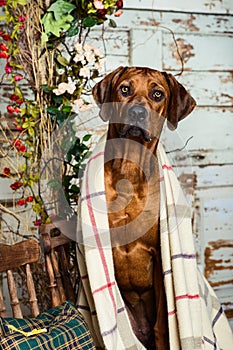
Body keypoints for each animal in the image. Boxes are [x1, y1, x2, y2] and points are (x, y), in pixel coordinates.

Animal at [92, 67, 196, 348]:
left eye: (157, 94)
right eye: (125, 89)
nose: (138, 113)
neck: (129, 168)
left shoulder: (159, 255)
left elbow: (163, 325)